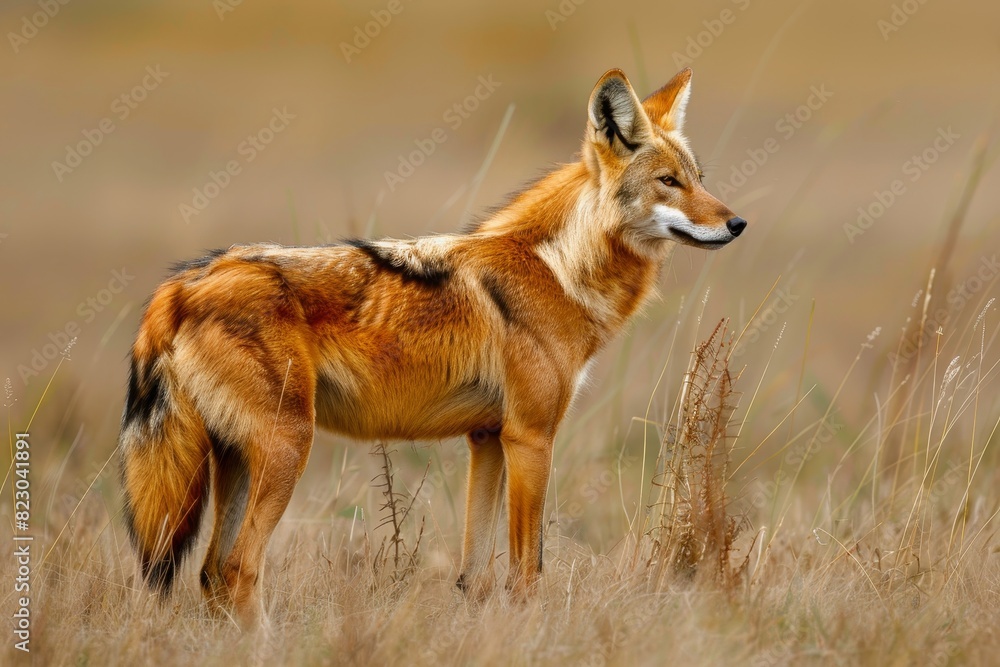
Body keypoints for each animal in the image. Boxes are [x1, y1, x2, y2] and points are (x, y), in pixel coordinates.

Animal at [119, 67, 746, 627]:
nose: (738, 224)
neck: (558, 267)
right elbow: (527, 571)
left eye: (698, 177)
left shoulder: (487, 440)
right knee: (237, 571)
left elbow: (475, 576)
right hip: (285, 449)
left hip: (236, 460)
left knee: (210, 575)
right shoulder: (531, 438)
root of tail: (179, 285)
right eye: (668, 182)